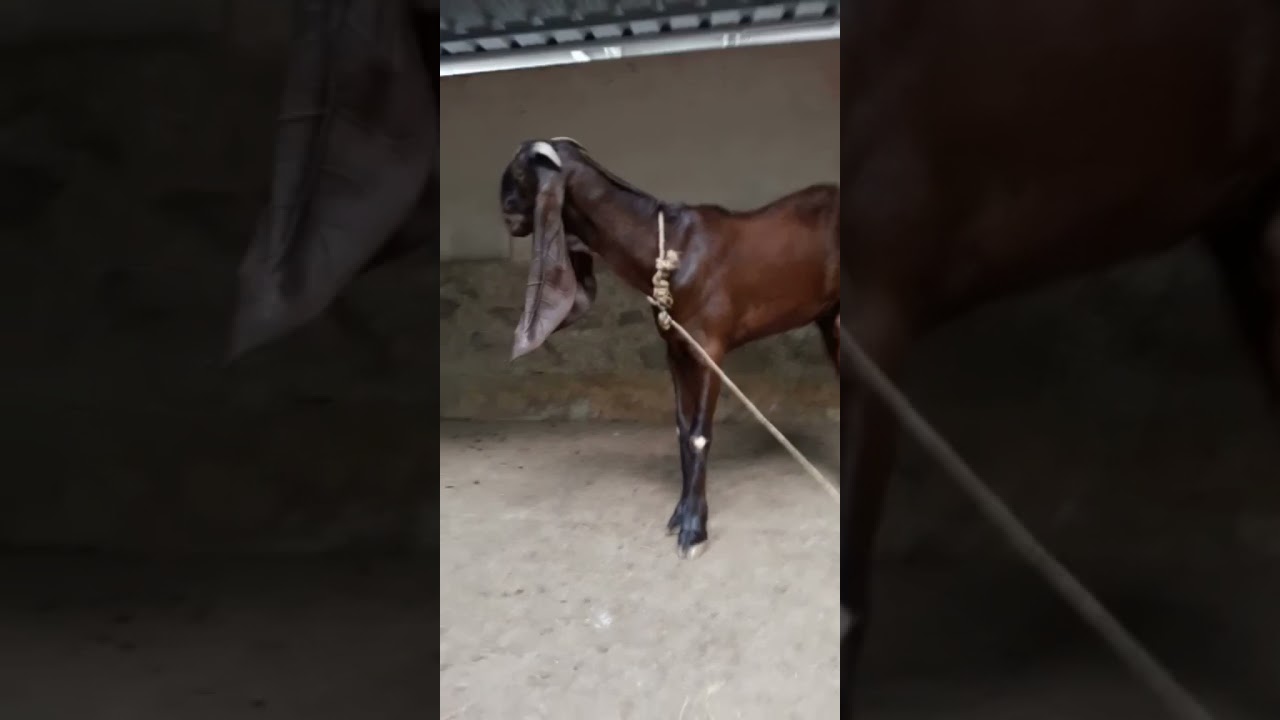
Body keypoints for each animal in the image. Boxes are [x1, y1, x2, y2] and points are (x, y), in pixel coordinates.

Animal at [500, 138, 840, 558]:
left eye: (519, 171)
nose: (505, 211)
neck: (672, 247)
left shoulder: (710, 347)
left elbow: (699, 435)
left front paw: (694, 530)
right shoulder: (676, 348)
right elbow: (682, 430)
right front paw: (681, 514)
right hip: (831, 320)